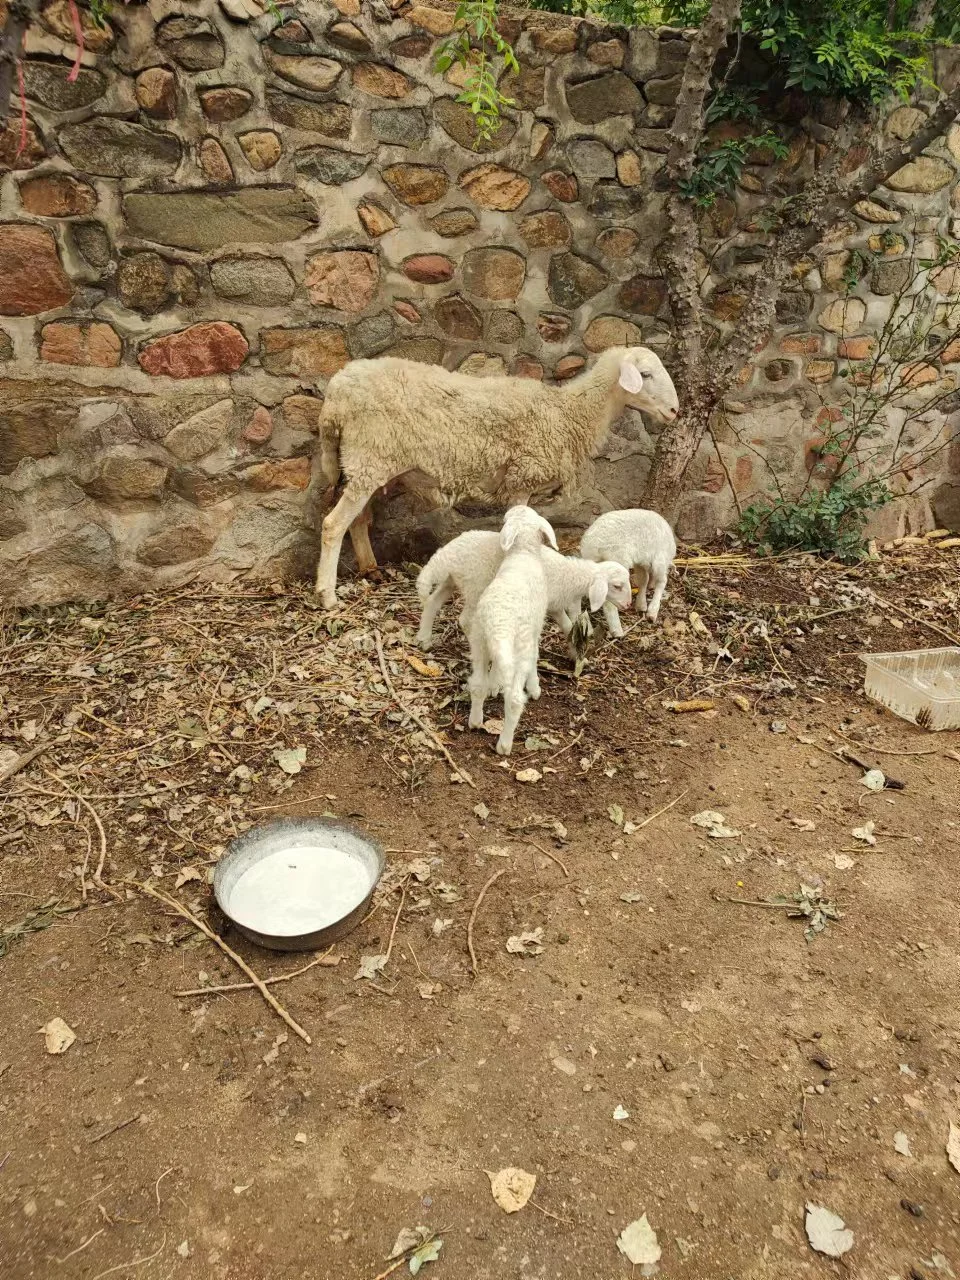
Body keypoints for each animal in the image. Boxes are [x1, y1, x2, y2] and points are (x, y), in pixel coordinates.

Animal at [312, 343, 680, 606]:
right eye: (645, 374)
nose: (675, 411)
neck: (570, 413)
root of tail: (337, 393)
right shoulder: (523, 478)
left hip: (370, 464)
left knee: (358, 521)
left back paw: (370, 570)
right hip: (369, 455)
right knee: (333, 524)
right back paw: (327, 595)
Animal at [414, 529, 632, 650]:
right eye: (617, 586)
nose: (628, 605)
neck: (568, 574)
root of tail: (448, 552)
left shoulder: (554, 606)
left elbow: (567, 625)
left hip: (452, 580)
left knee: (432, 602)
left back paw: (424, 639)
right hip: (476, 585)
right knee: (465, 620)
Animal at [465, 501, 555, 752]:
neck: (523, 551)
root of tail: (500, 623)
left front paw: (495, 684)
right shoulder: (535, 629)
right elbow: (535, 656)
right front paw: (534, 688)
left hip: (480, 639)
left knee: (477, 683)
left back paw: (475, 721)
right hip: (519, 642)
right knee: (514, 700)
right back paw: (505, 744)